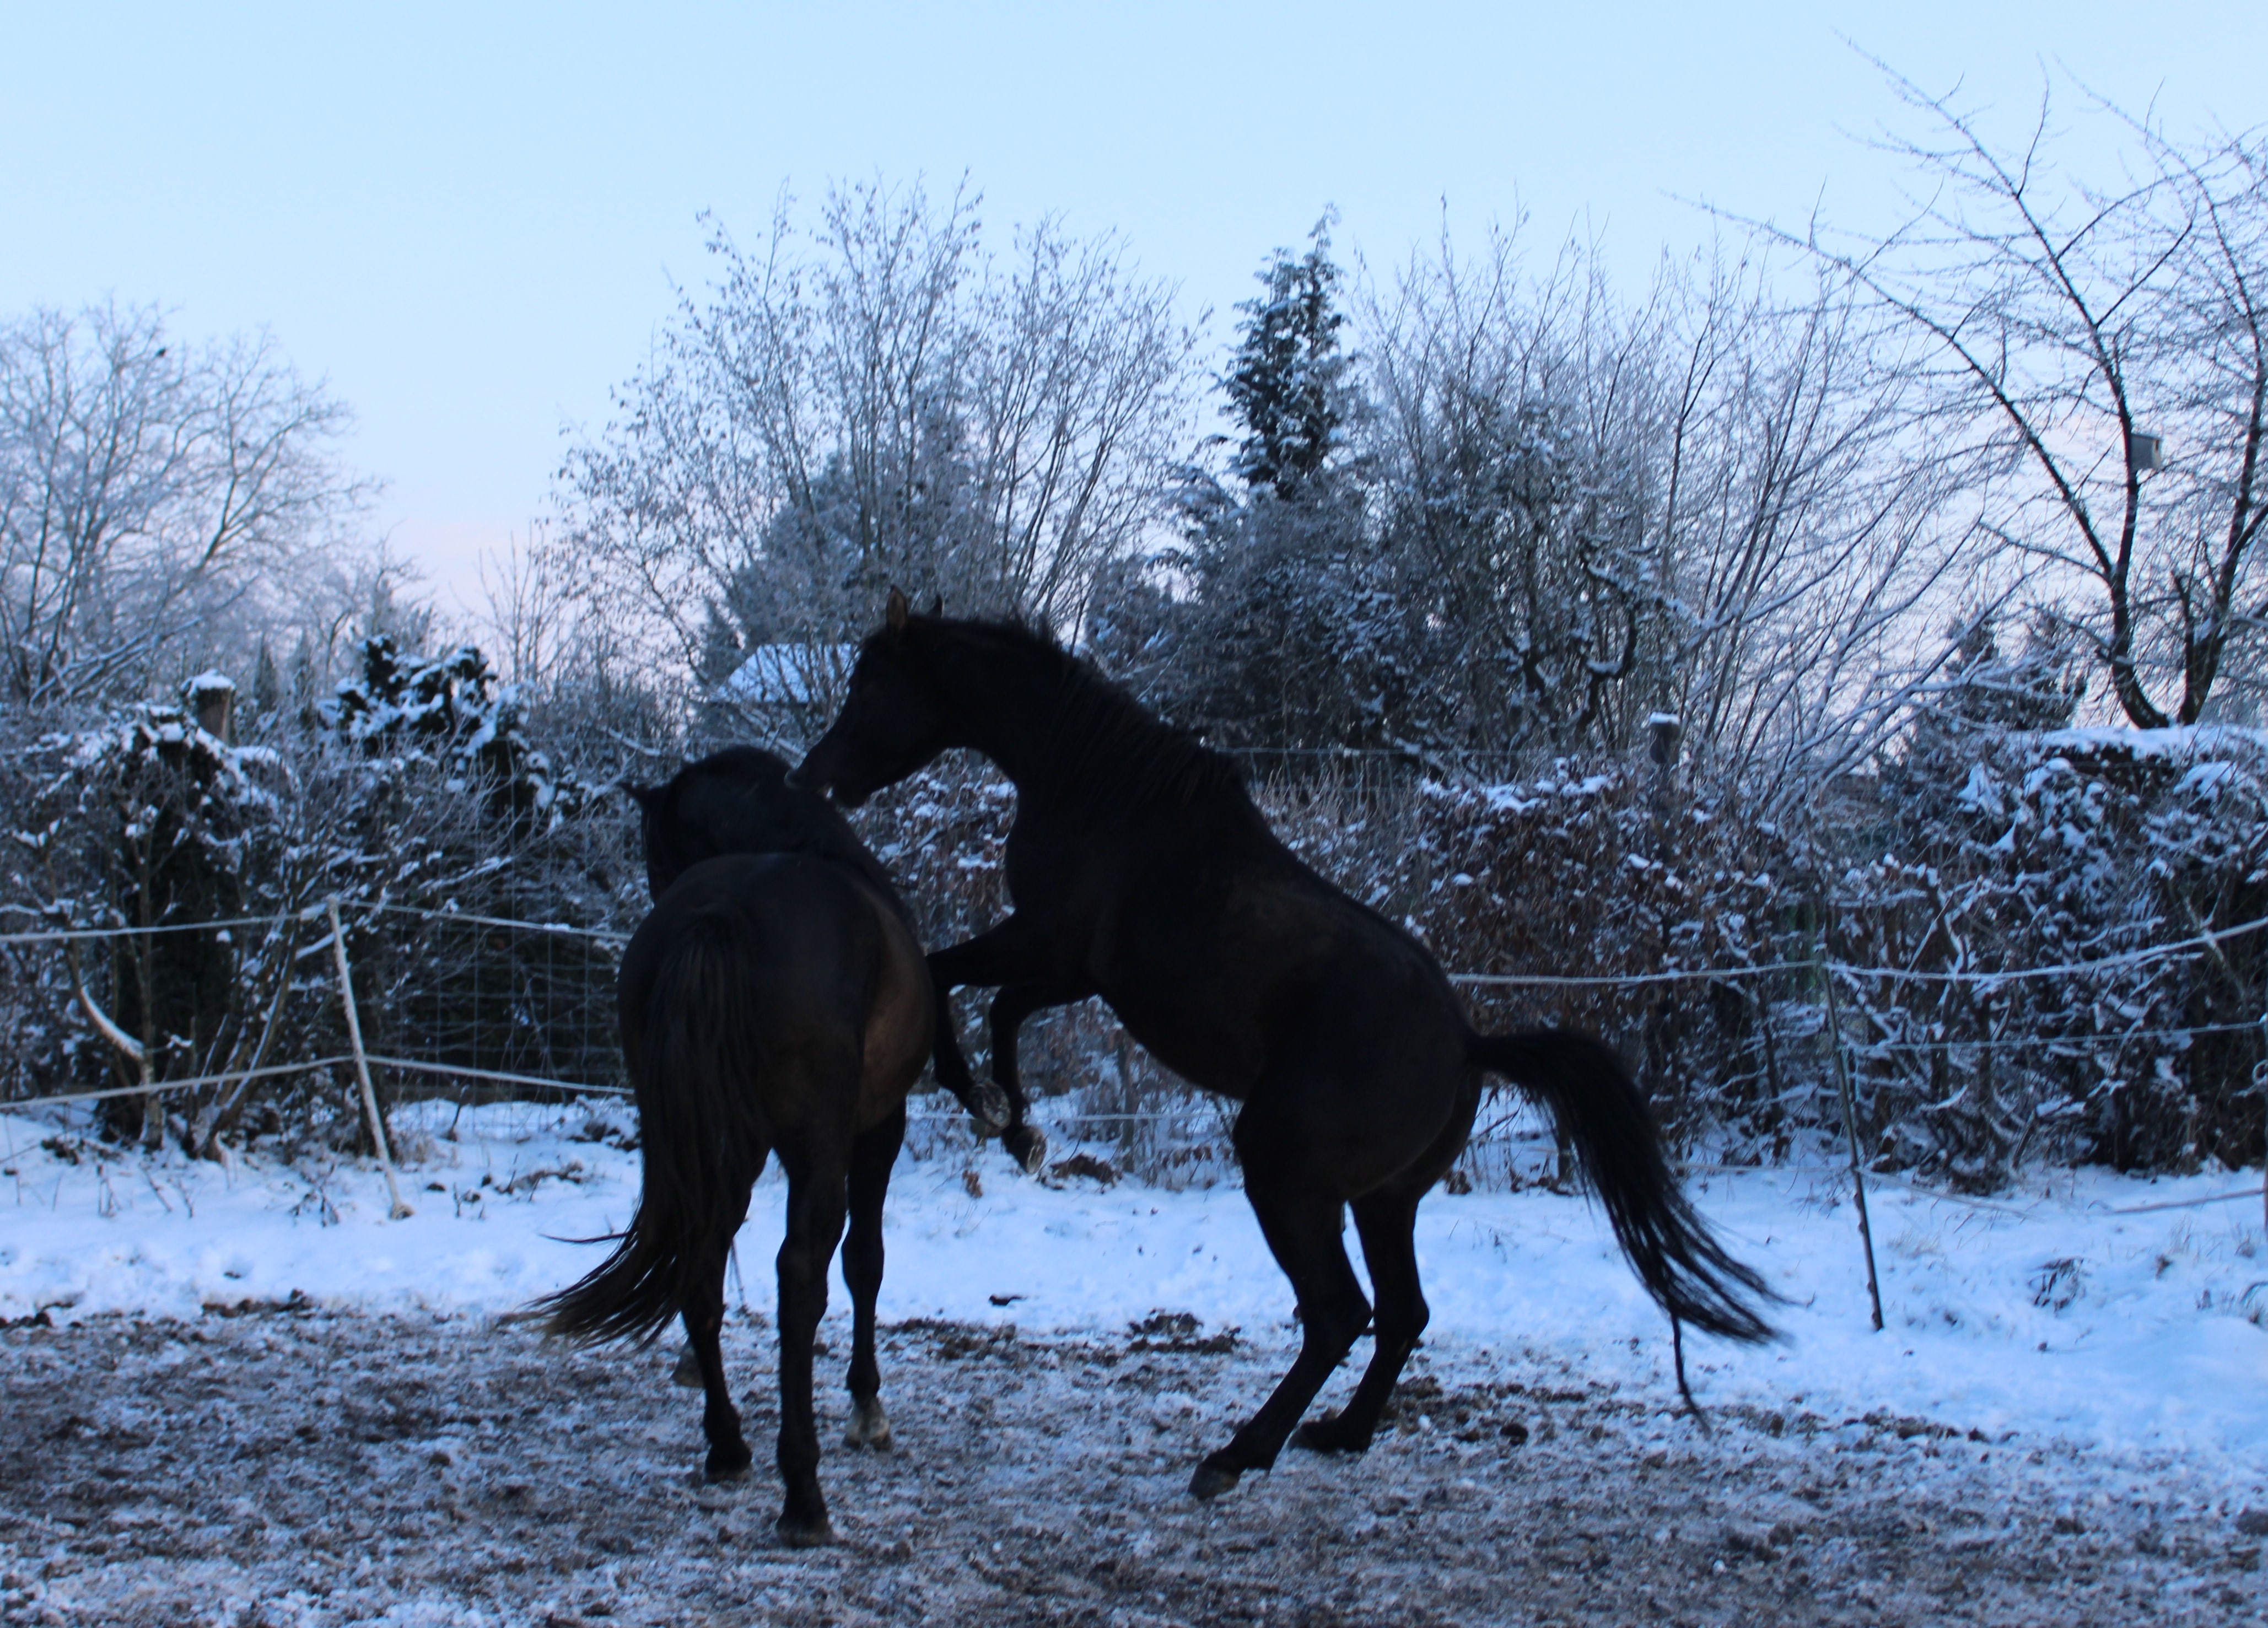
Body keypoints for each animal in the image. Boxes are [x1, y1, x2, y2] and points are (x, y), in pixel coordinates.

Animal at [533, 746, 934, 1546]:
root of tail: (719, 914)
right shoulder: (877, 1127)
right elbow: (864, 1262)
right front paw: (865, 1407)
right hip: (818, 1148)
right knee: (800, 1276)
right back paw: (803, 1493)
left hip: (694, 1141)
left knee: (699, 1260)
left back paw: (726, 1442)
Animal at [794, 590, 1779, 1502]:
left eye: (867, 684)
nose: (817, 780)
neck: (1102, 793)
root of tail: (1468, 1044)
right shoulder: (1073, 971)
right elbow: (993, 1006)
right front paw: (1017, 1126)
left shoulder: (1047, 945)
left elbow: (949, 979)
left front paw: (999, 1113)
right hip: (1383, 1200)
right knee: (1401, 1312)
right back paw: (1338, 1435)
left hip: (1284, 1172)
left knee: (1339, 1313)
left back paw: (1235, 1455)